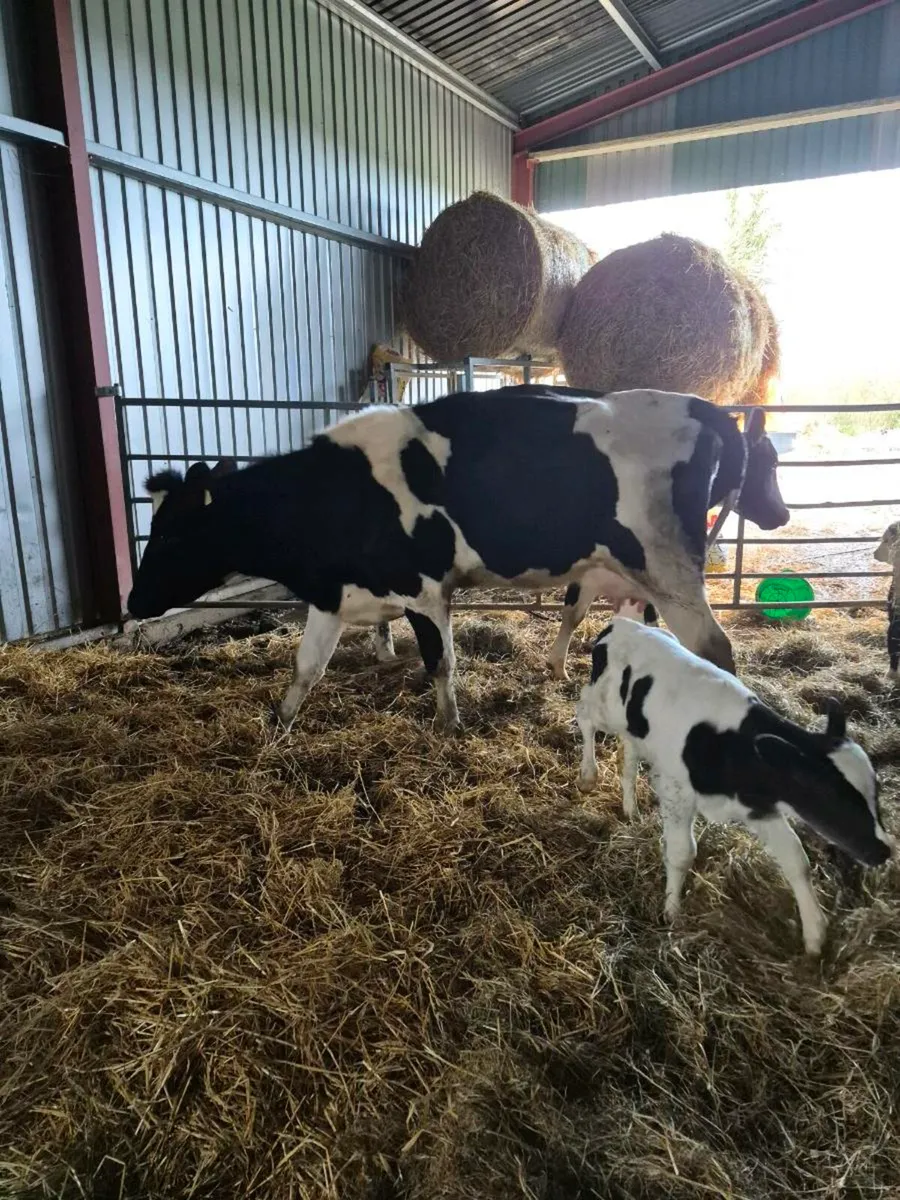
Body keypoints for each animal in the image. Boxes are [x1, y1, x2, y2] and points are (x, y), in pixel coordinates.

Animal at [126, 384, 788, 732]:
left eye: (171, 537)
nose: (132, 601)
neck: (335, 495)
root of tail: (700, 406)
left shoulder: (424, 588)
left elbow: (440, 660)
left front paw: (449, 725)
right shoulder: (336, 593)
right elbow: (307, 666)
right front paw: (280, 720)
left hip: (670, 570)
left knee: (715, 649)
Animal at [575, 601, 893, 955]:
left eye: (875, 792)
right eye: (831, 797)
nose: (883, 850)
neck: (733, 747)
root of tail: (620, 624)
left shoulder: (761, 808)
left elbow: (797, 860)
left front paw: (815, 935)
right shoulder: (676, 790)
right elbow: (682, 853)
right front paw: (671, 912)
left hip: (633, 727)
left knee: (628, 758)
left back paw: (629, 807)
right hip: (603, 705)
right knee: (583, 714)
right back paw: (588, 773)